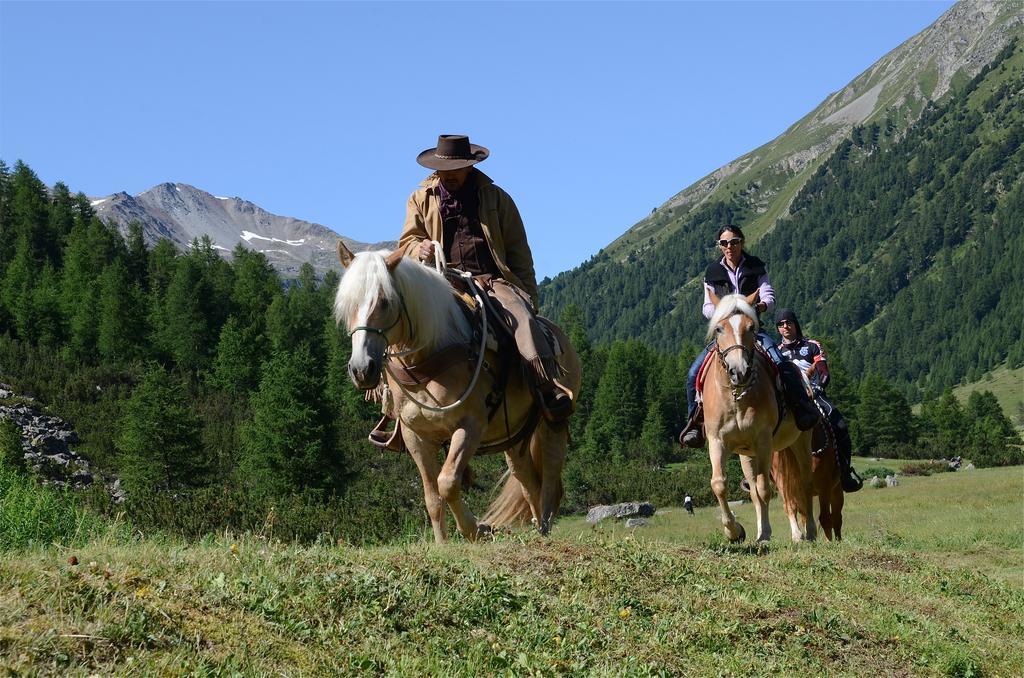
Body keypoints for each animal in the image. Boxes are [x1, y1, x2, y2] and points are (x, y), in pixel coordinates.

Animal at [333, 246, 581, 544]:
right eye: (347, 305)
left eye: (384, 302)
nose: (361, 369)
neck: (430, 354)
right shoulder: (416, 435)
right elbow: (431, 496)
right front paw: (442, 544)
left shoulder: (469, 425)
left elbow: (447, 482)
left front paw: (476, 529)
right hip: (514, 435)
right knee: (528, 479)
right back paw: (538, 530)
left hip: (550, 422)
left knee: (551, 477)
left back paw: (544, 525)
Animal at [704, 294, 815, 544]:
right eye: (719, 329)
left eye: (751, 327)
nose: (739, 371)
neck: (737, 398)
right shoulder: (717, 441)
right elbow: (720, 484)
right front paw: (734, 531)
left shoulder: (764, 441)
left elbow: (765, 489)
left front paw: (764, 534)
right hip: (748, 454)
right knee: (754, 490)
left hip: (801, 441)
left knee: (805, 481)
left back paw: (811, 531)